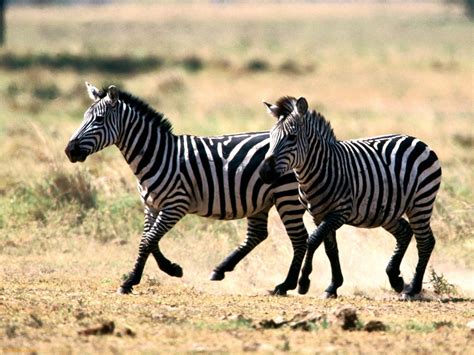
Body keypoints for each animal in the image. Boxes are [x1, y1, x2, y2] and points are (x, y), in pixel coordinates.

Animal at [65, 82, 310, 294]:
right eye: (84, 117)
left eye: (99, 119)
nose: (69, 150)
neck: (158, 155)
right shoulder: (151, 206)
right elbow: (148, 240)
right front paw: (171, 269)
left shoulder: (176, 205)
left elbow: (148, 241)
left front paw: (130, 281)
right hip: (259, 199)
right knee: (257, 235)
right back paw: (220, 269)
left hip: (286, 196)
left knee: (299, 238)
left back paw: (286, 285)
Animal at [260, 96, 440, 298]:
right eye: (270, 136)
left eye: (292, 137)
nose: (264, 173)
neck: (321, 168)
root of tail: (417, 140)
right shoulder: (318, 215)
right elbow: (330, 249)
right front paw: (333, 286)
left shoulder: (340, 212)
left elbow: (313, 240)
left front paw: (304, 282)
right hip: (386, 211)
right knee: (405, 232)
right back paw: (395, 278)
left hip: (421, 202)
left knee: (425, 241)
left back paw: (412, 288)